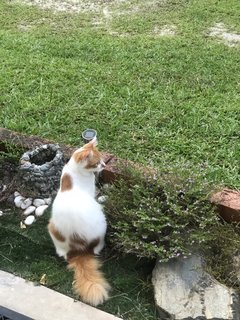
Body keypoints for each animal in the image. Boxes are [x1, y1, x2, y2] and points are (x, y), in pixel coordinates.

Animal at [47, 137, 110, 304]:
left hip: (51, 228)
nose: (104, 165)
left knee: (61, 252)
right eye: (97, 163)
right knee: (97, 248)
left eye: (102, 158)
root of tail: (78, 249)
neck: (74, 171)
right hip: (102, 223)